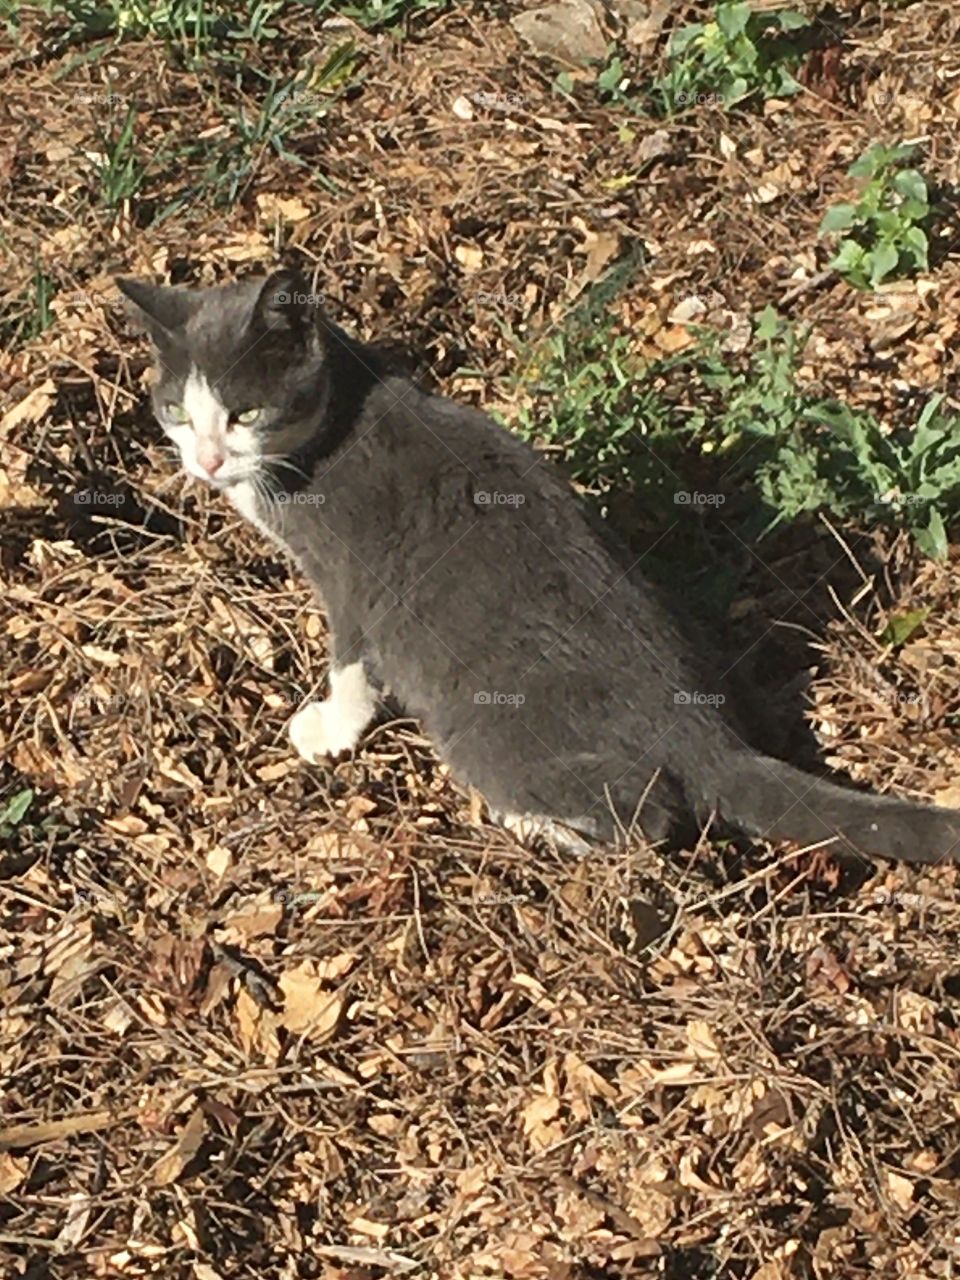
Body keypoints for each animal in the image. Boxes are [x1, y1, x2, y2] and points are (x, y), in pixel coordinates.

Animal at [118, 270, 960, 870]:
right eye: (177, 411)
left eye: (246, 414)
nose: (206, 461)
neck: (327, 434)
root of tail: (700, 733)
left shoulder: (351, 581)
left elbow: (352, 662)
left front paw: (328, 727)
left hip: (488, 729)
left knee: (648, 817)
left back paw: (529, 821)